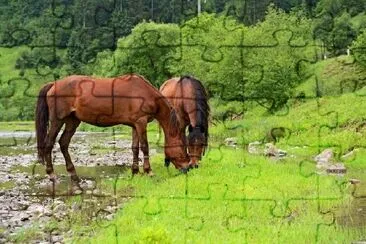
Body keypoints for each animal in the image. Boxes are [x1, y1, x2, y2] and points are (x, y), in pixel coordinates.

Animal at [35, 73, 189, 184]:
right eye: (182, 147)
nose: (188, 167)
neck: (144, 92)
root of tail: (53, 85)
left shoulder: (135, 125)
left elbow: (135, 147)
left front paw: (135, 171)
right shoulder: (141, 122)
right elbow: (144, 146)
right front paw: (148, 171)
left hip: (73, 121)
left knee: (63, 143)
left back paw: (74, 175)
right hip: (57, 120)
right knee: (49, 144)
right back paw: (52, 174)